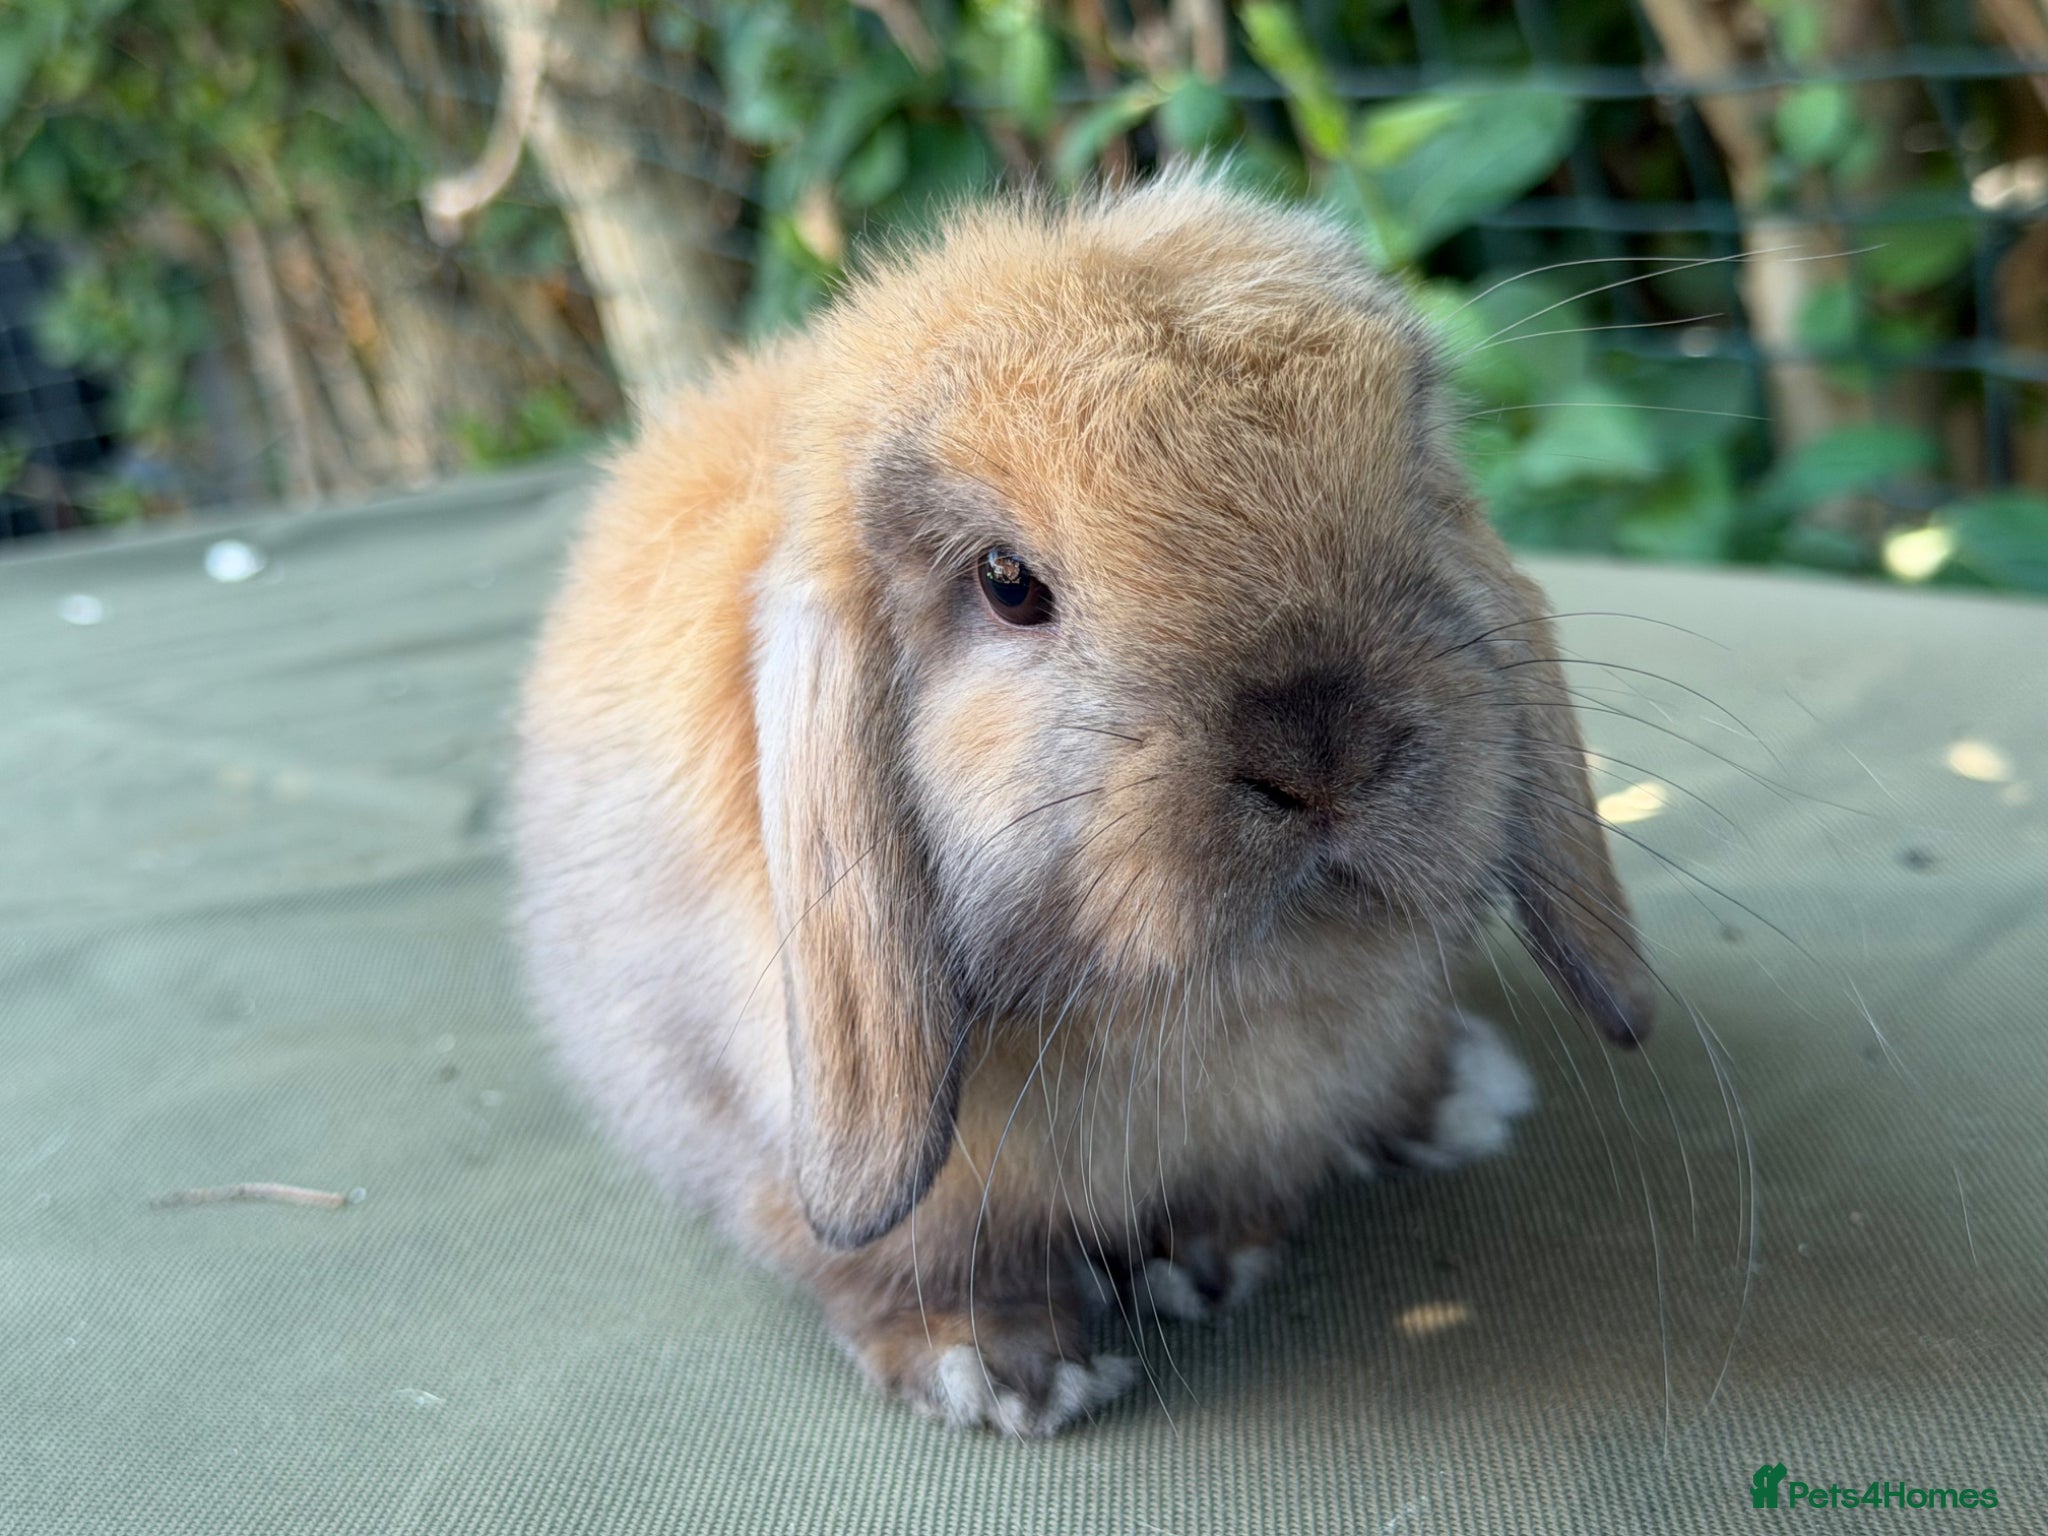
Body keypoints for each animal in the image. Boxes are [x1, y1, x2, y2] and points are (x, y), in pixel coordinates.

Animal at [513, 170, 1654, 1438]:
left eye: (1413, 490)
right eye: (1007, 584)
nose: (1325, 752)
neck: (1194, 1011)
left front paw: (1214, 1259)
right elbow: (897, 1261)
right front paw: (1006, 1372)